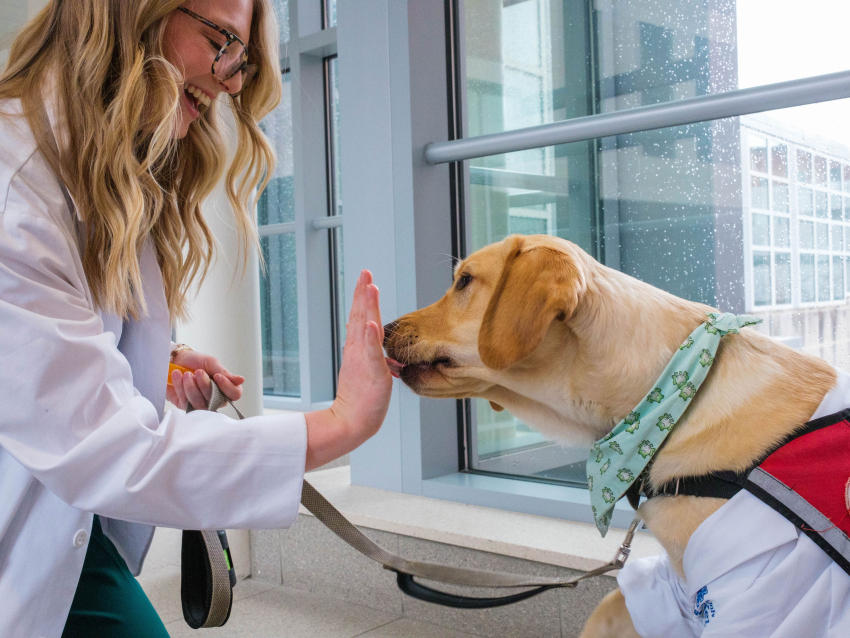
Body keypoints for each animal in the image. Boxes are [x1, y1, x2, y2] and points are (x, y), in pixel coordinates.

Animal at [382, 232, 836, 636]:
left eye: (464, 281)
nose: (385, 328)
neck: (677, 393)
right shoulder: (681, 590)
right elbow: (614, 600)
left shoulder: (754, 591)